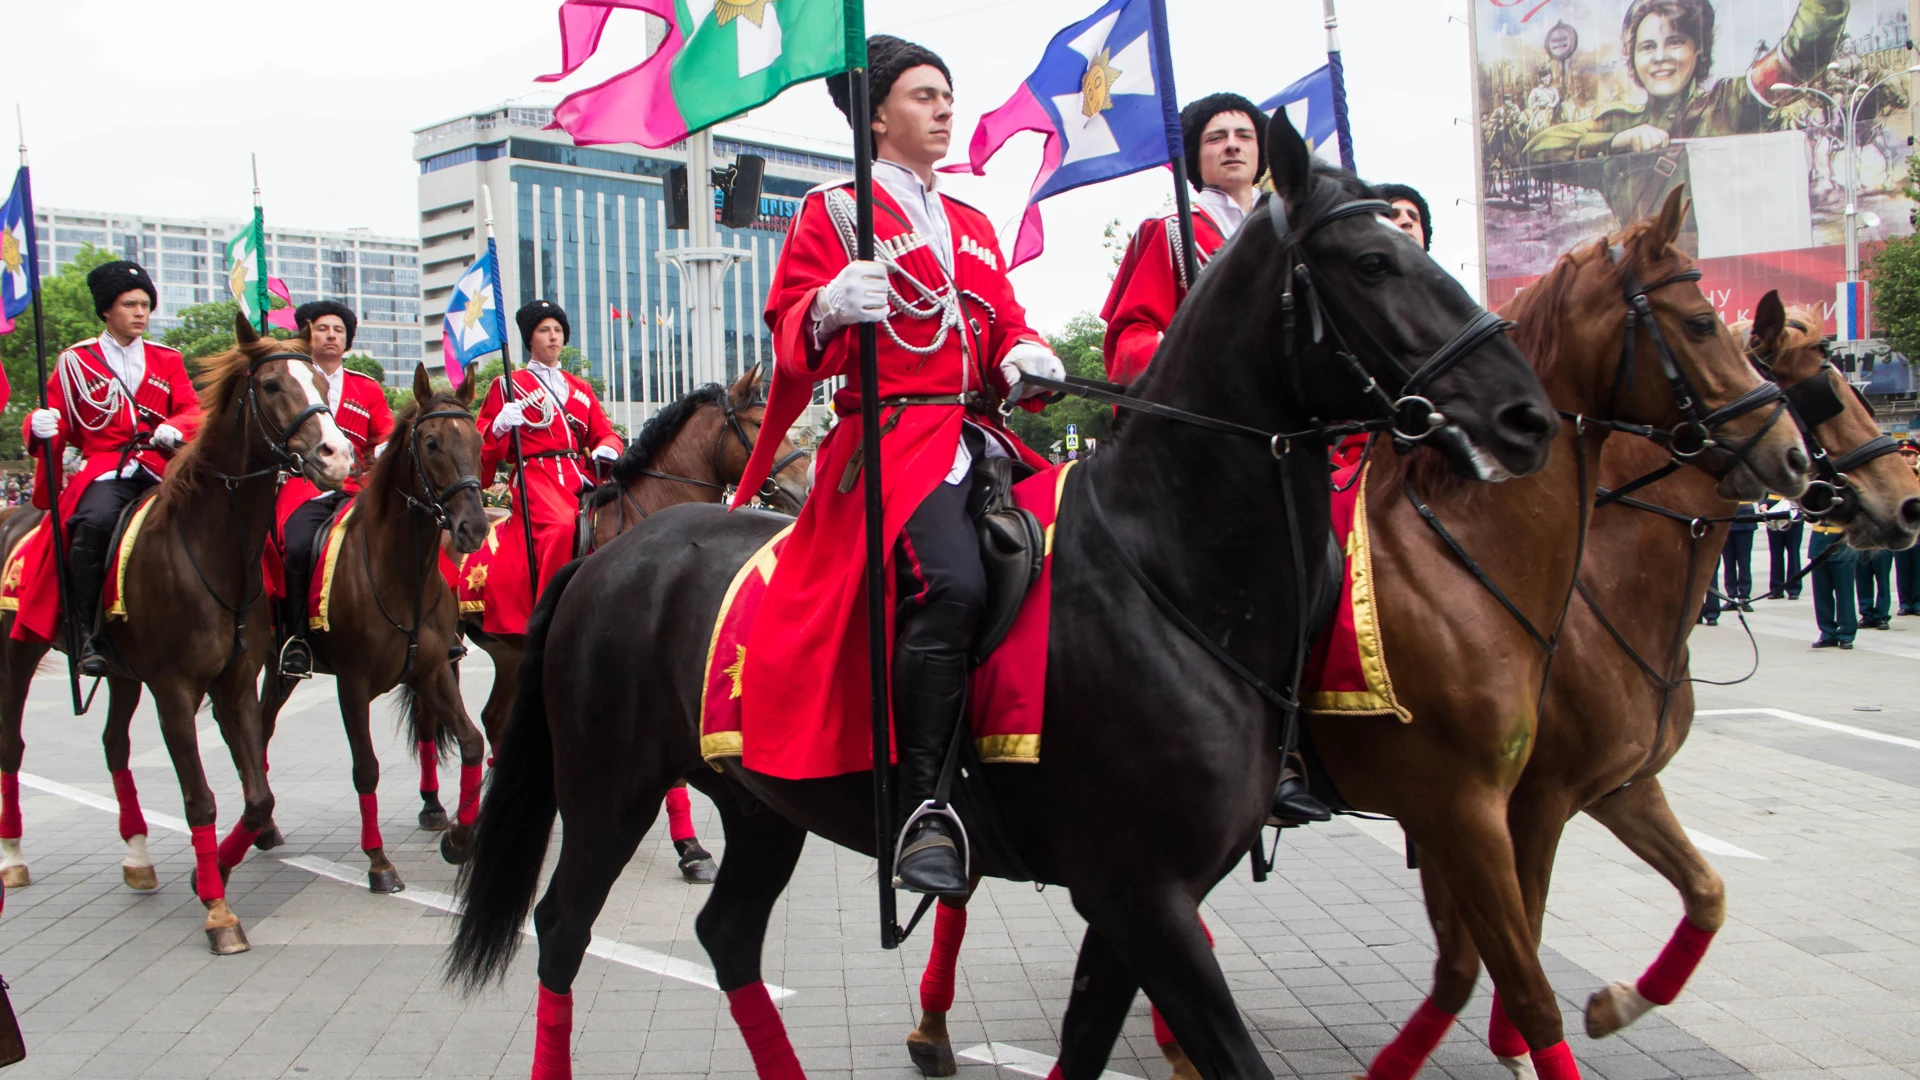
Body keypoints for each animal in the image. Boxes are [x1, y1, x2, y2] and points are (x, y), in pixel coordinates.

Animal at [0, 319, 353, 949]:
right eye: (270, 385)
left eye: (319, 380)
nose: (336, 457)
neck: (212, 549)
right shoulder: (174, 691)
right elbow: (200, 801)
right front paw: (218, 911)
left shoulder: (235, 685)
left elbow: (257, 796)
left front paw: (210, 874)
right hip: (19, 648)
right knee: (12, 745)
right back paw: (14, 857)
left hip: (120, 674)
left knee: (114, 744)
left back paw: (138, 857)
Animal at [255, 365, 495, 887]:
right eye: (431, 443)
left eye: (477, 439)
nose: (474, 528)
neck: (398, 573)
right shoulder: (352, 683)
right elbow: (366, 768)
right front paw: (379, 861)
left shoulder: (431, 671)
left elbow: (470, 743)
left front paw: (459, 839)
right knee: (256, 728)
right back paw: (258, 825)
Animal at [449, 113, 1559, 1068]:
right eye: (1373, 262)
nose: (1527, 416)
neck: (1175, 581)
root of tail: (609, 558)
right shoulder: (1143, 891)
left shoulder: (1137, 900)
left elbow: (1085, 1043)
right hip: (610, 788)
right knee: (560, 929)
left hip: (761, 799)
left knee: (727, 936)